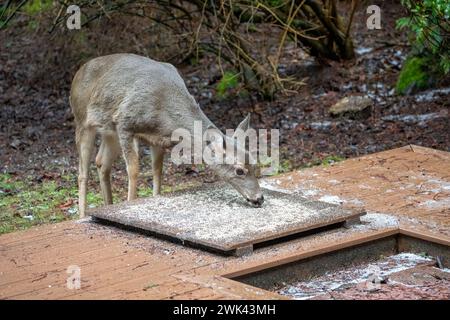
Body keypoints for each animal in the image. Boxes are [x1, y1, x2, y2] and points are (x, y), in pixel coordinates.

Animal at [70, 53, 264, 218]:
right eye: (239, 170)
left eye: (255, 164)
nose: (259, 198)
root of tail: (78, 73)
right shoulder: (125, 123)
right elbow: (134, 170)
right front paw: (130, 203)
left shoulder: (158, 139)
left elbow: (157, 171)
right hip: (82, 120)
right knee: (82, 173)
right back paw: (83, 215)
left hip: (109, 131)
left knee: (101, 162)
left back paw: (108, 204)